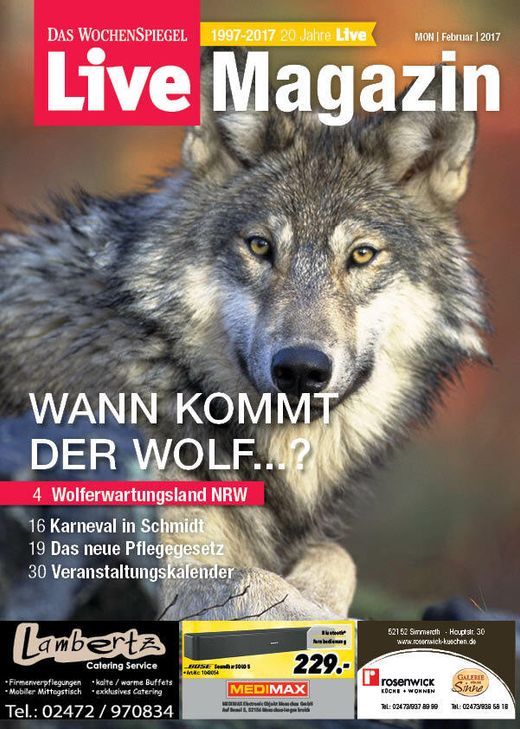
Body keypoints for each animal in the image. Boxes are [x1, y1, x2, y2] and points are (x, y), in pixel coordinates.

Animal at [0, 51, 488, 620]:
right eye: (259, 246)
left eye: (362, 254)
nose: (301, 368)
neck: (166, 370)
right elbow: (259, 582)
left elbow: (336, 556)